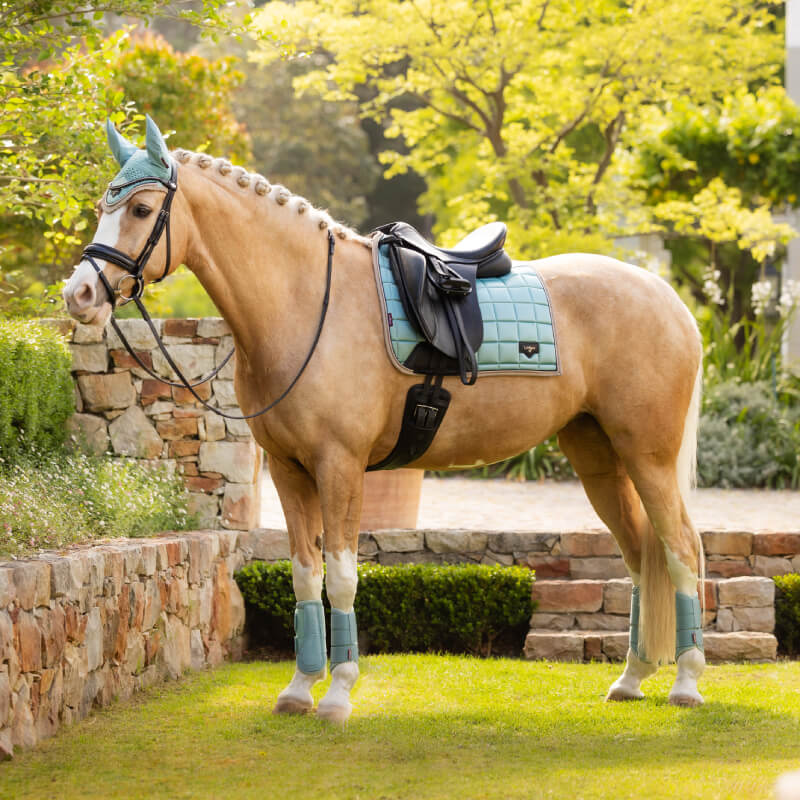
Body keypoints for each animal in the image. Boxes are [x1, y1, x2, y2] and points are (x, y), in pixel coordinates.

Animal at [63, 116, 706, 723]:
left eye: (142, 208)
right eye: (102, 207)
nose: (80, 294)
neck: (306, 306)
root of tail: (668, 298)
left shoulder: (340, 468)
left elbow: (344, 575)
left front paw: (338, 695)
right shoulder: (290, 472)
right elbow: (306, 576)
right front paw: (299, 689)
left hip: (648, 456)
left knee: (681, 549)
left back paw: (686, 683)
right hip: (598, 458)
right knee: (641, 555)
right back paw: (632, 678)